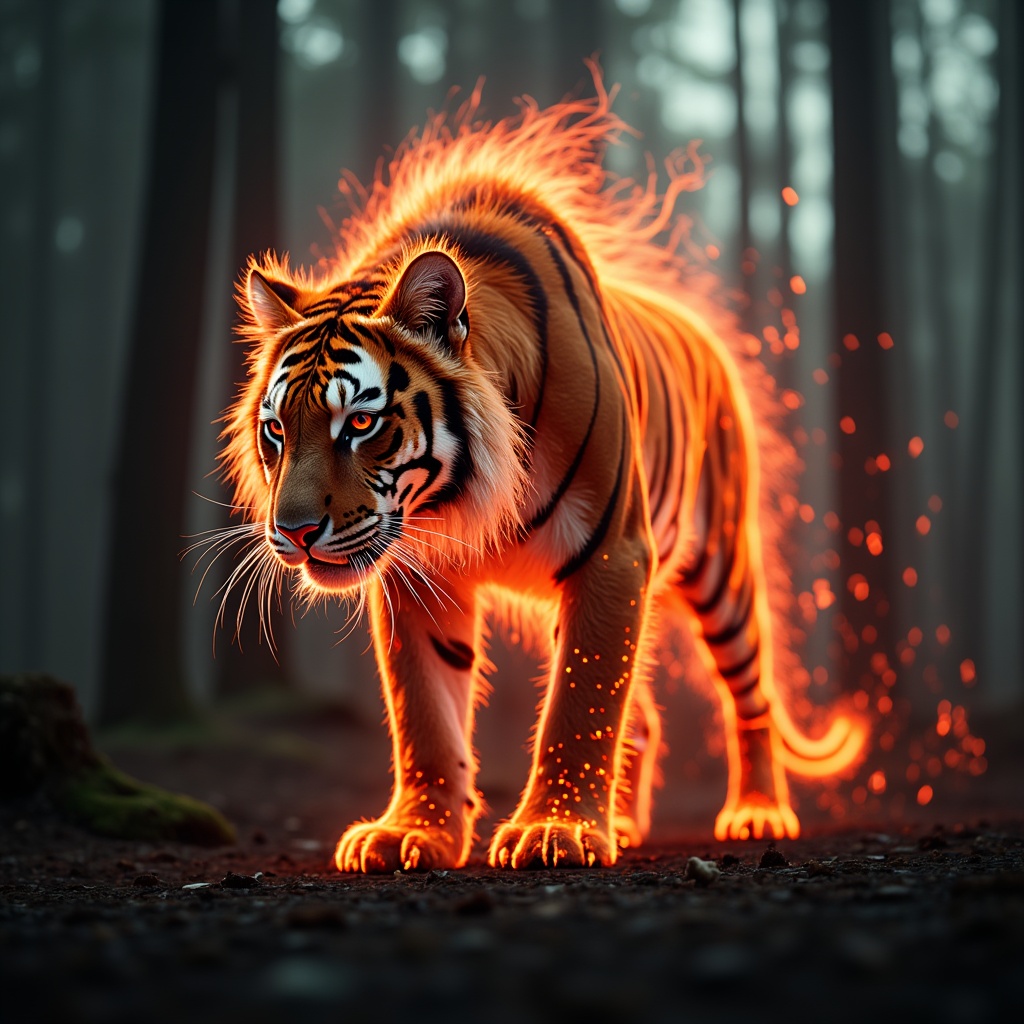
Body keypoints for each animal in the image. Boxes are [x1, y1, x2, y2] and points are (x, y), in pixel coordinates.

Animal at [220, 79, 866, 872]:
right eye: (278, 430)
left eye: (361, 424)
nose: (294, 532)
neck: (455, 499)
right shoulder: (414, 577)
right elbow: (424, 713)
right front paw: (415, 834)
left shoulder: (612, 554)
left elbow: (581, 700)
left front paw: (554, 831)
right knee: (646, 715)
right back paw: (626, 824)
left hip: (722, 569)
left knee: (751, 694)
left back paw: (757, 813)